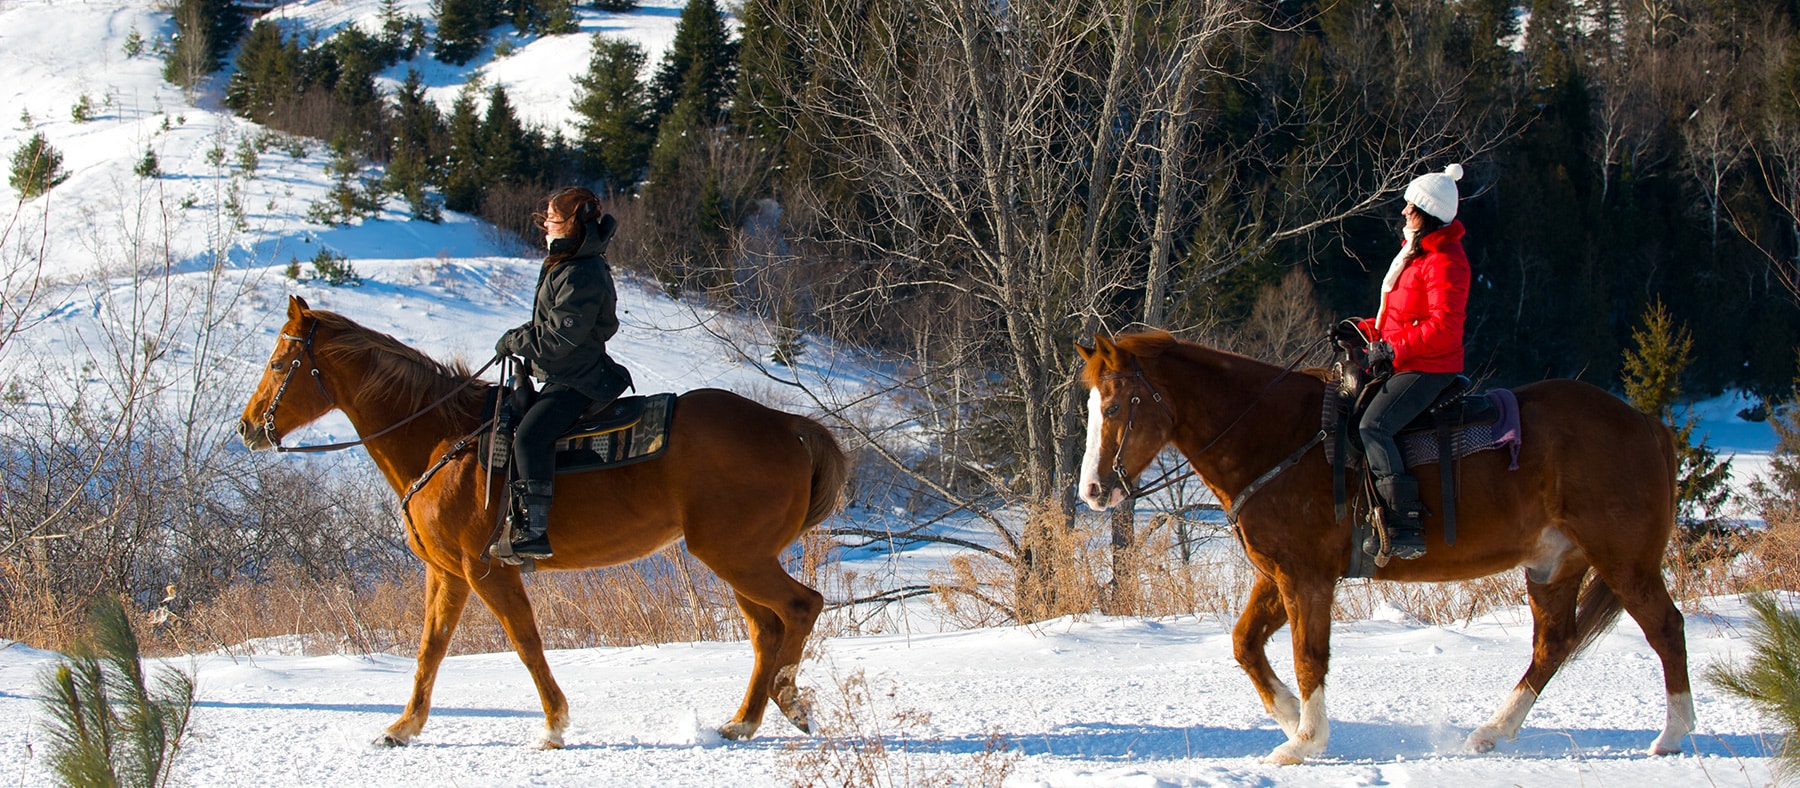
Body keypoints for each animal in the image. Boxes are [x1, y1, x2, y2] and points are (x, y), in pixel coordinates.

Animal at [237, 296, 847, 748]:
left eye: (278, 364)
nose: (248, 427)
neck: (442, 439)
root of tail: (786, 425)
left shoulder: (487, 570)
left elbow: (525, 642)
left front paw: (554, 725)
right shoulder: (447, 573)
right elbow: (430, 649)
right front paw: (403, 727)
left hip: (736, 556)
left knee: (801, 607)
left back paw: (788, 700)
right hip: (737, 559)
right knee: (767, 630)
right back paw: (744, 720)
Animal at [1075, 331, 1692, 765]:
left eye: (1114, 407)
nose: (1093, 491)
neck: (1279, 439)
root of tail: (1643, 422)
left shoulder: (1307, 578)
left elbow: (1308, 656)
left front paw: (1305, 740)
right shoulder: (1277, 576)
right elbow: (1245, 644)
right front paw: (1292, 717)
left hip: (1624, 560)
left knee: (1665, 628)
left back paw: (1673, 732)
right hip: (1553, 565)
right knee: (1553, 644)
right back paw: (1493, 731)